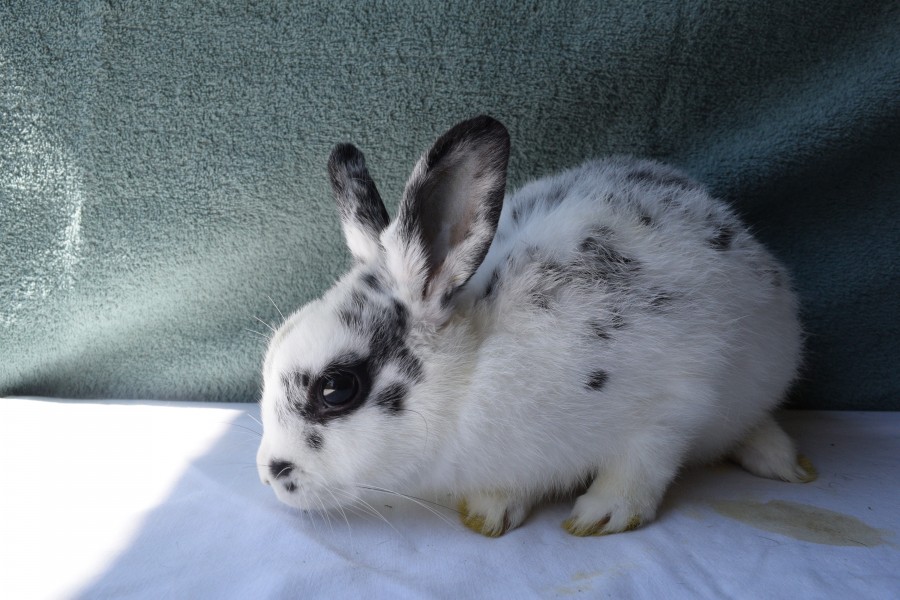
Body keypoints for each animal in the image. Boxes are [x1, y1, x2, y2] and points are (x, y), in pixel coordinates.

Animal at [256, 115, 816, 537]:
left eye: (337, 389)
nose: (268, 475)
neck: (473, 377)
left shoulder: (676, 398)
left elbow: (642, 463)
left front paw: (602, 516)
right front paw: (490, 512)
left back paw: (782, 463)